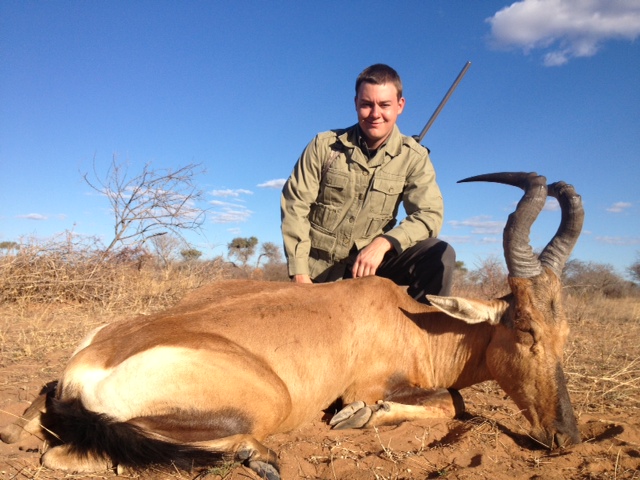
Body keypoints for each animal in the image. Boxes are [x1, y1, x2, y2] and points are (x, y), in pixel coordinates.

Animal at [1, 172, 583, 480]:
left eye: (565, 335)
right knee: (73, 454)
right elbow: (449, 403)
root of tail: (85, 370)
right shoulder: (370, 383)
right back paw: (258, 457)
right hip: (260, 405)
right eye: (524, 329)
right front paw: (357, 418)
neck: (407, 318)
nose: (567, 437)